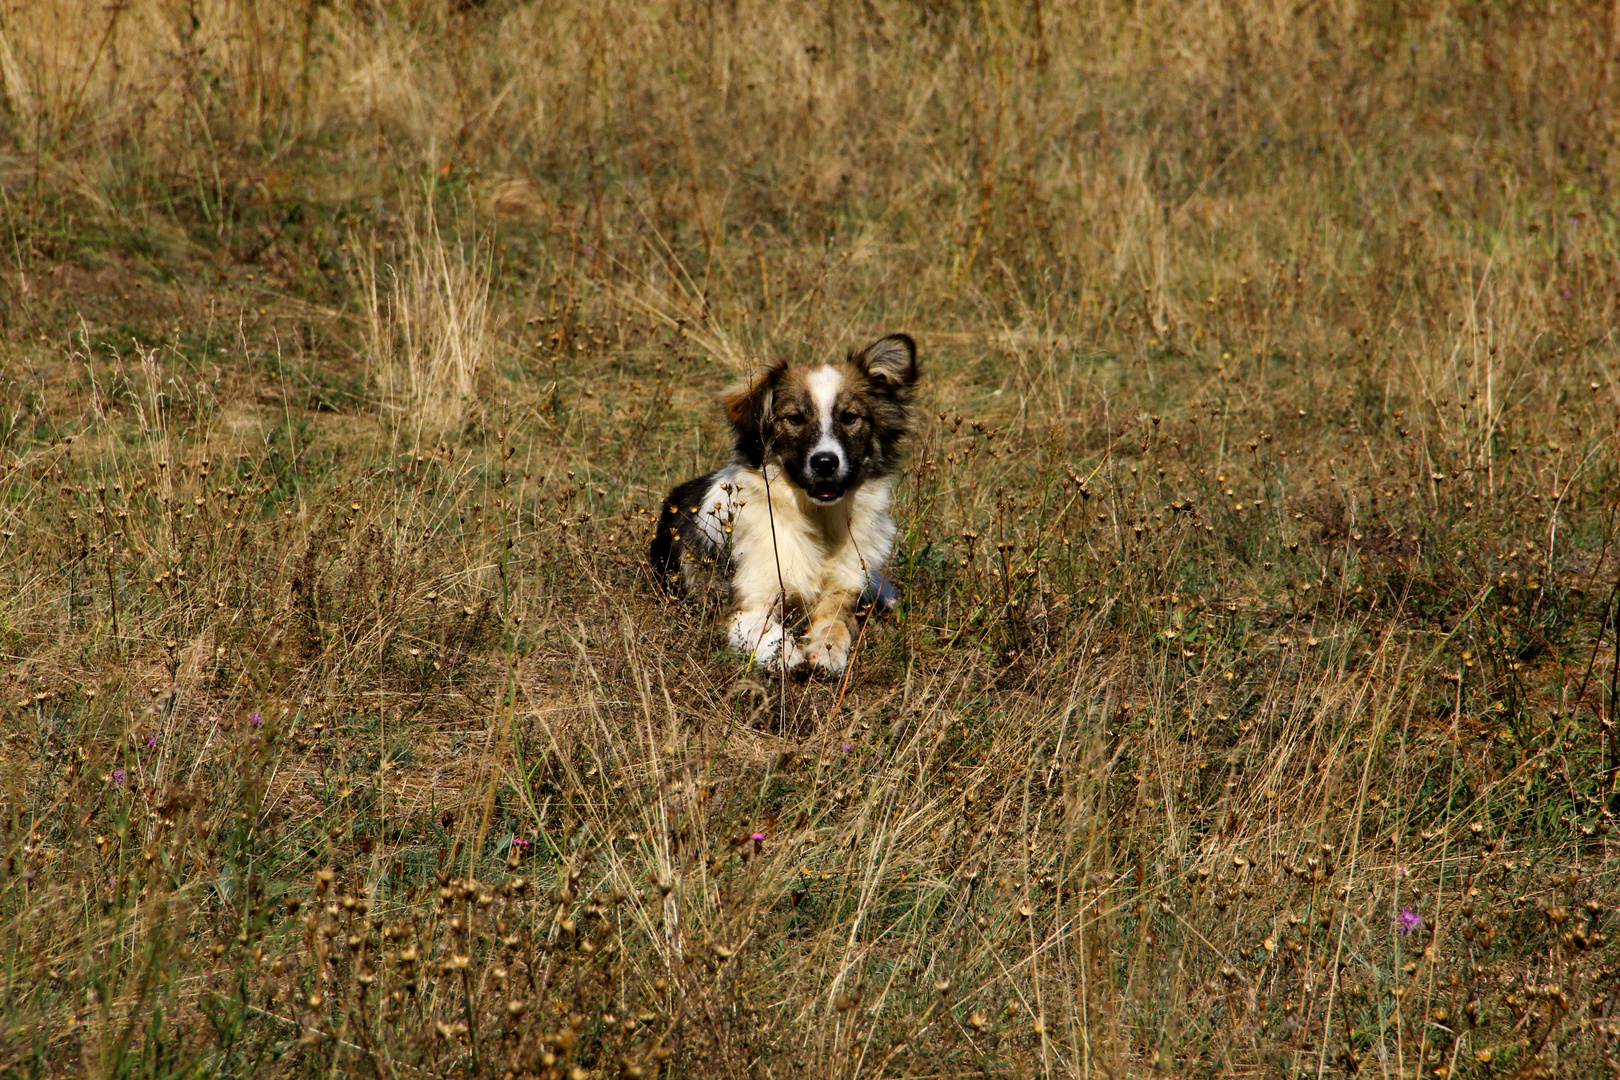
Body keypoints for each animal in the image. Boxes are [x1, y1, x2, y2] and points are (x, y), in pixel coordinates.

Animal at [648, 335, 926, 676]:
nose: (825, 463)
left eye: (849, 417)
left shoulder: (843, 589)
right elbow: (767, 630)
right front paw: (784, 654)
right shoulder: (747, 602)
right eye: (795, 418)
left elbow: (836, 625)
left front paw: (828, 651)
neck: (816, 519)